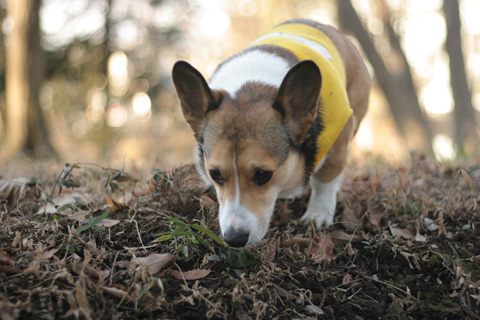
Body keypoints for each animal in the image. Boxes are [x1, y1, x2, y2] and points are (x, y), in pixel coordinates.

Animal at [172, 18, 372, 246]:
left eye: (262, 175)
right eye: (216, 174)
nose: (234, 239)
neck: (252, 81)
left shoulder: (339, 135)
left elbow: (326, 179)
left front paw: (318, 214)